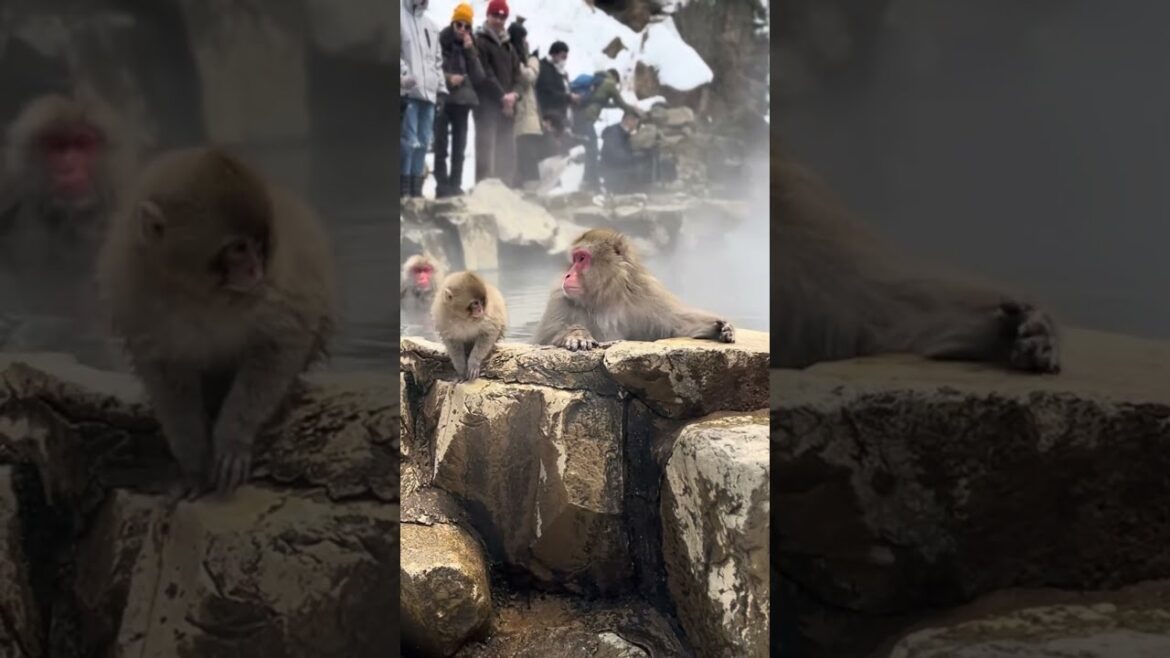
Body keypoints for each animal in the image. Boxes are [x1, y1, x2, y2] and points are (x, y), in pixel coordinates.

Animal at [96, 146, 336, 496]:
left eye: (258, 245)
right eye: (238, 248)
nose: (255, 270)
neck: (200, 295)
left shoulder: (280, 286)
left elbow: (280, 344)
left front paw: (232, 439)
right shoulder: (136, 296)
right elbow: (164, 371)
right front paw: (193, 457)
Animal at [532, 228, 736, 350]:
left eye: (581, 258)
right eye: (574, 259)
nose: (567, 275)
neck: (606, 298)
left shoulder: (648, 291)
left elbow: (678, 325)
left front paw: (719, 328)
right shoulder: (559, 296)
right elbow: (542, 339)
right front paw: (576, 334)